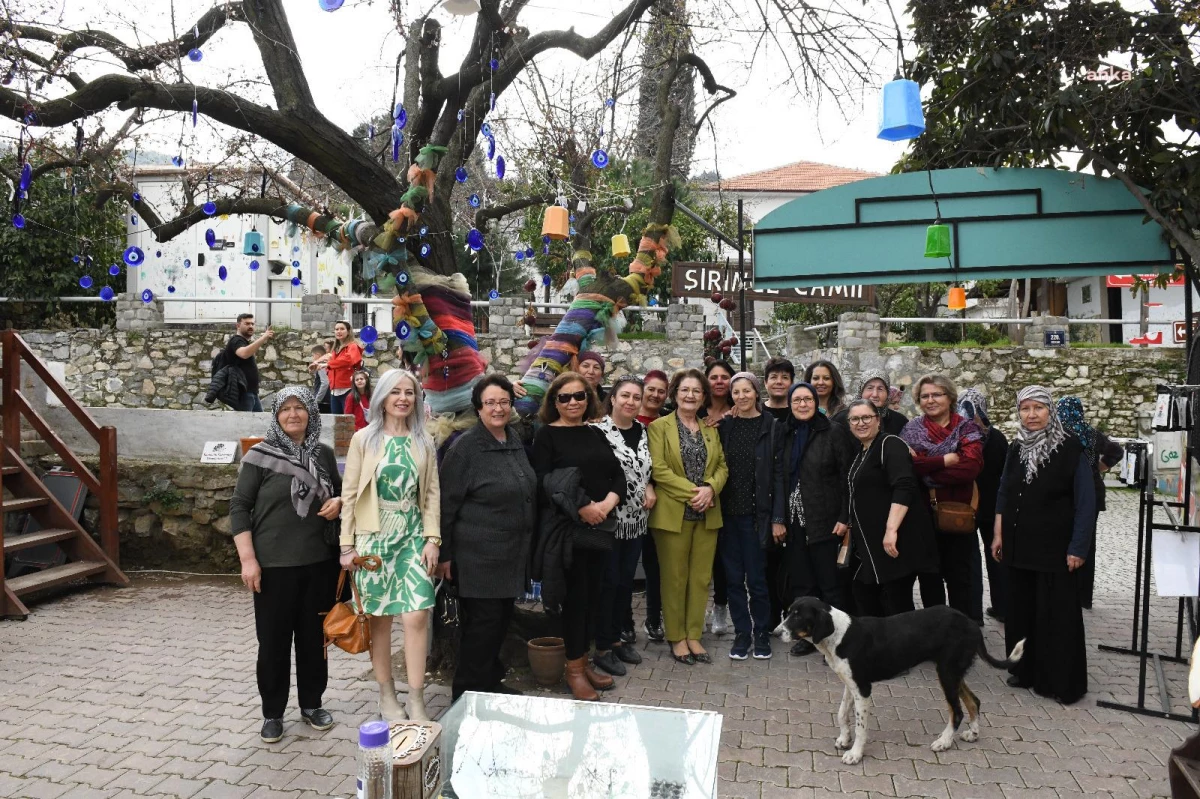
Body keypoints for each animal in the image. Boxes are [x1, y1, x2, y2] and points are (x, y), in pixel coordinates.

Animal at [777, 597, 1022, 758]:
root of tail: (971, 623)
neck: (839, 635)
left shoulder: (863, 689)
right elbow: (841, 714)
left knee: (957, 711)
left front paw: (855, 754)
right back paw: (973, 734)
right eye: (788, 612)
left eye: (798, 616)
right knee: (974, 701)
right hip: (953, 671)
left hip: (947, 671)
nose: (776, 633)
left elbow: (861, 726)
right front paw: (844, 739)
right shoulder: (850, 684)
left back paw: (943, 742)